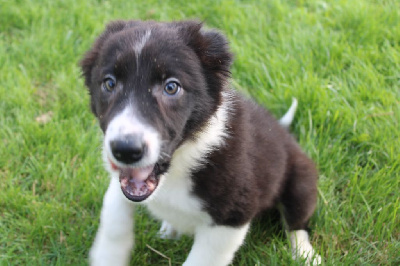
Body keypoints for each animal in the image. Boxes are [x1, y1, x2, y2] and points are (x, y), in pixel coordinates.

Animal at [80, 19, 322, 264]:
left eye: (171, 87)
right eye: (109, 84)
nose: (125, 151)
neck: (183, 159)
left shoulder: (231, 216)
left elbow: (201, 259)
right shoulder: (120, 182)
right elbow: (113, 213)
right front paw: (107, 255)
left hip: (300, 183)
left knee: (297, 223)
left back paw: (305, 254)